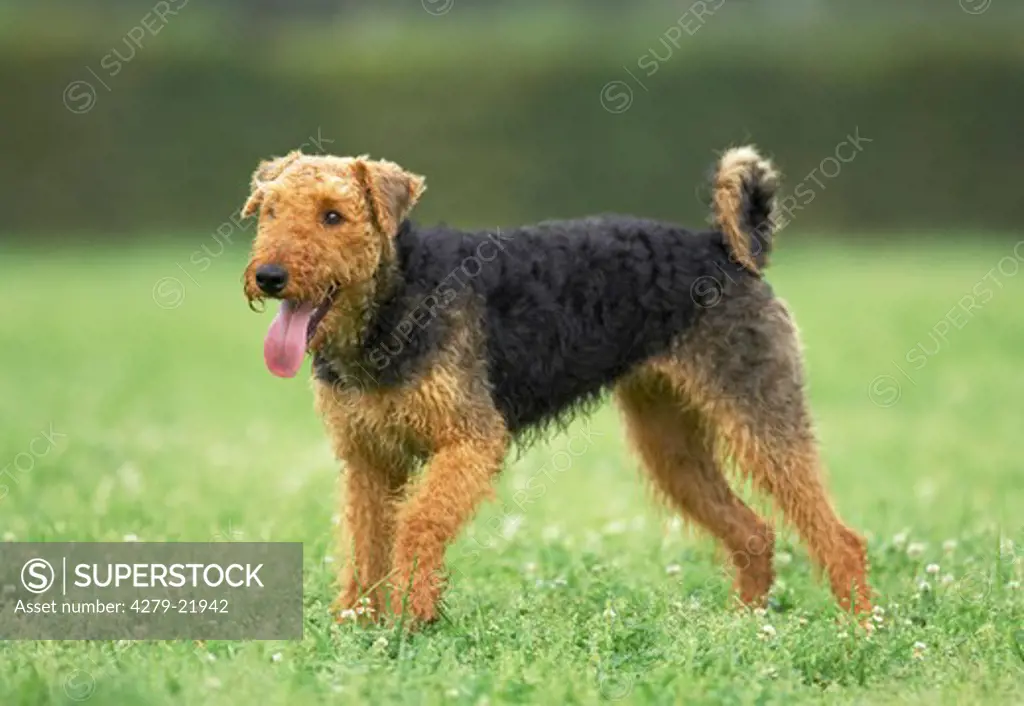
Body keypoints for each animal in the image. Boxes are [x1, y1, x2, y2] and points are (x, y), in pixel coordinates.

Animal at [241, 145, 872, 627]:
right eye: (269, 211)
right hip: (669, 444)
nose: (269, 277)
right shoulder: (369, 458)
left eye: (333, 215)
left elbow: (418, 525)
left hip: (762, 416)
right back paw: (744, 628)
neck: (393, 305)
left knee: (841, 539)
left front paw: (412, 621)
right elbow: (366, 544)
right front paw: (357, 626)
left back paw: (861, 630)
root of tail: (726, 251)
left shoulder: (471, 439)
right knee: (755, 533)